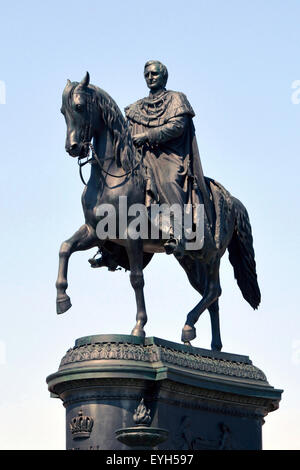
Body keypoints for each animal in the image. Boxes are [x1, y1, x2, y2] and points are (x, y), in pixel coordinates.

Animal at [55, 70, 260, 348]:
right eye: (62, 111)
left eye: (78, 106)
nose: (73, 148)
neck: (113, 175)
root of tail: (231, 199)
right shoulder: (94, 231)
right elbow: (65, 248)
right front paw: (62, 299)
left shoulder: (132, 237)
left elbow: (137, 279)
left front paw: (139, 327)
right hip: (191, 259)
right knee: (212, 298)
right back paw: (215, 347)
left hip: (211, 255)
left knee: (213, 291)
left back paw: (188, 327)